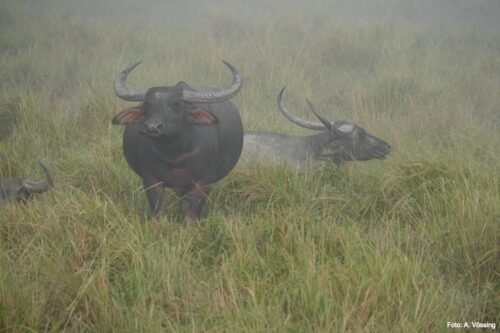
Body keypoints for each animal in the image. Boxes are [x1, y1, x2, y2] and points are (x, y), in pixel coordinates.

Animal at [114, 61, 246, 224]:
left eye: (176, 104)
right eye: (147, 104)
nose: (152, 127)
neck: (174, 155)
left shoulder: (203, 182)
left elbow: (192, 214)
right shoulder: (150, 180)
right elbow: (158, 210)